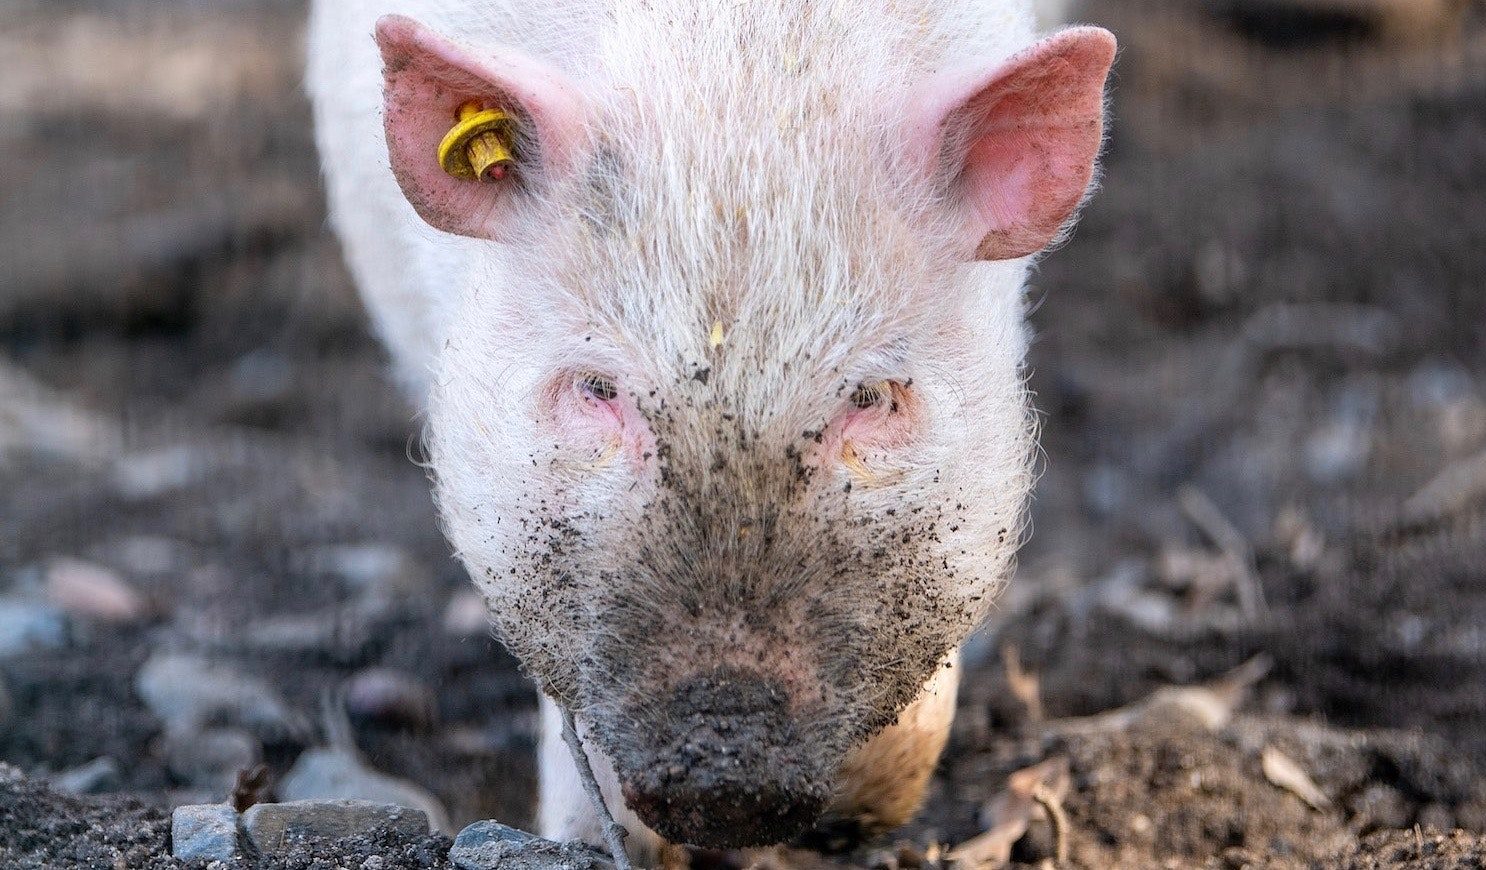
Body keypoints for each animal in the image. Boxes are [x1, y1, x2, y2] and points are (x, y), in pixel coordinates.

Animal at [306, 0, 1114, 859]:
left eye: (870, 397)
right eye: (597, 388)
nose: (727, 767)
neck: (735, 64)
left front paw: (872, 809)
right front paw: (595, 840)